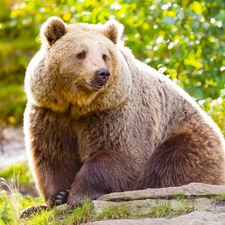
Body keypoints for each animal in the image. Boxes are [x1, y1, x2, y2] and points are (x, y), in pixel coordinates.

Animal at [20, 15, 225, 216]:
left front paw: (79, 195)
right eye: (81, 53)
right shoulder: (51, 114)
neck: (79, 105)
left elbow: (115, 153)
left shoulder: (115, 112)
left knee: (173, 165)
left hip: (186, 137)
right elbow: (53, 155)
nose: (102, 73)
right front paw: (55, 197)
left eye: (104, 55)